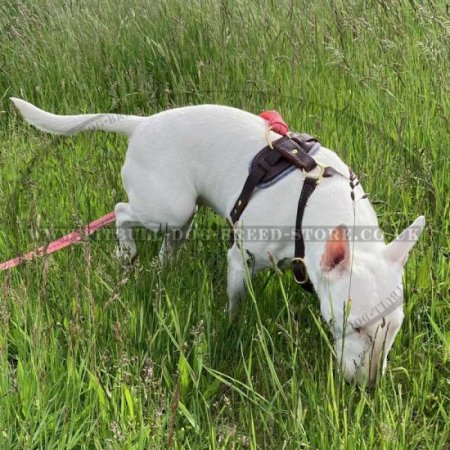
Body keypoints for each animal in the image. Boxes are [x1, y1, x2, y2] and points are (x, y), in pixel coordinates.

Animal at [11, 99, 426, 386]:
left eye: (395, 328)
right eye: (353, 327)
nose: (369, 388)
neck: (313, 200)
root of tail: (142, 124)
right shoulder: (241, 259)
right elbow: (236, 301)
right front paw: (230, 329)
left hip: (180, 217)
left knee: (168, 242)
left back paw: (161, 268)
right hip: (168, 207)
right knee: (122, 210)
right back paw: (125, 251)